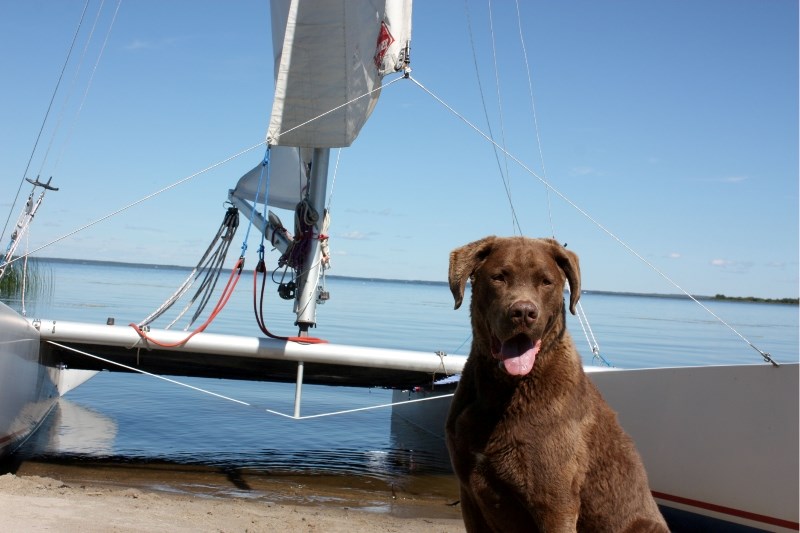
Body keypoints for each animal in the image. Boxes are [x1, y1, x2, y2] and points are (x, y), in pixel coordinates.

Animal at [446, 237, 664, 532]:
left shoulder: (554, 503)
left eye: (546, 281)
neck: (504, 389)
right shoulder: (469, 494)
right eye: (499, 277)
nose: (523, 312)